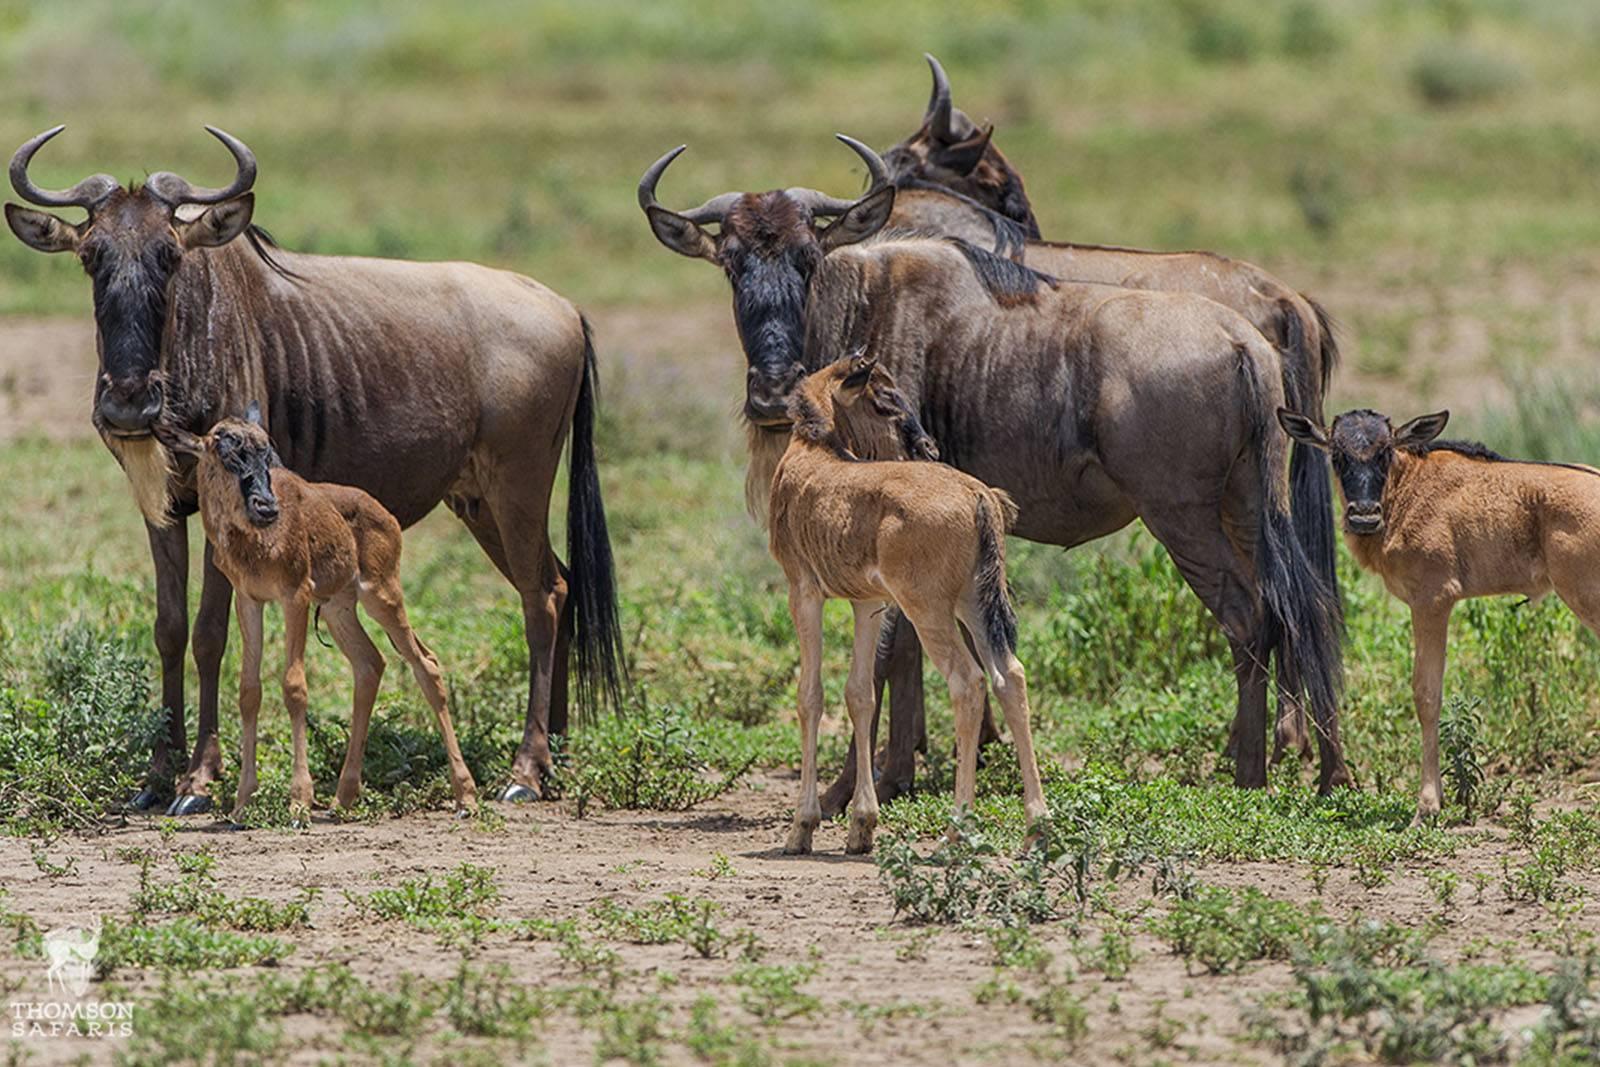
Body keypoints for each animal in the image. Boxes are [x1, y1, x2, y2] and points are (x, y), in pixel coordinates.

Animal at [157, 408, 477, 819]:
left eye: (268, 455)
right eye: (225, 452)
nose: (267, 508)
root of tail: (383, 514)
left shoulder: (296, 596)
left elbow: (294, 686)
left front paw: (298, 801)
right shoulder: (250, 600)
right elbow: (249, 690)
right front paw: (243, 802)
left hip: (381, 596)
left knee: (427, 664)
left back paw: (466, 795)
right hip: (339, 610)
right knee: (370, 664)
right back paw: (343, 797)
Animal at [770, 354, 1046, 854]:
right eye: (884, 400)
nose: (928, 447)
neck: (814, 451)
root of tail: (978, 496)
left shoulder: (803, 591)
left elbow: (810, 695)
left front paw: (802, 826)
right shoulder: (869, 604)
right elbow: (860, 693)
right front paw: (861, 826)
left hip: (929, 609)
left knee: (968, 681)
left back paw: (957, 829)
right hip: (973, 604)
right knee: (1009, 676)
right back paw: (1037, 827)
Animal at [1280, 406, 1600, 820]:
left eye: (1385, 453)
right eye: (1337, 455)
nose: (1364, 518)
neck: (1406, 489)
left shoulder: (1432, 600)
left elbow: (1426, 695)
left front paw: (1427, 805)